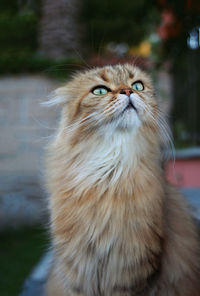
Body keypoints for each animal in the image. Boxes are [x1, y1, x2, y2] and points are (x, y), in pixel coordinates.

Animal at [45, 63, 200, 294]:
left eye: (137, 85)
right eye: (100, 90)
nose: (128, 91)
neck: (110, 175)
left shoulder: (133, 270)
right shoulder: (78, 271)